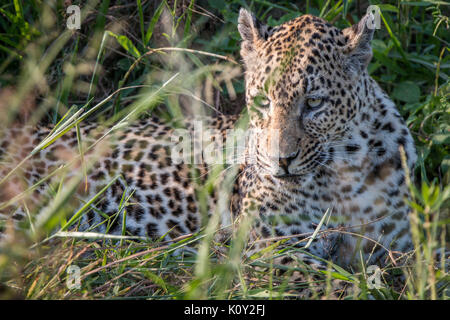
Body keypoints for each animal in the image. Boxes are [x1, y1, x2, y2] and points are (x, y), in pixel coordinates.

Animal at [0, 8, 418, 296]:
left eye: (314, 102)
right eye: (263, 101)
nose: (281, 161)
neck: (344, 175)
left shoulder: (404, 244)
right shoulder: (275, 251)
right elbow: (341, 285)